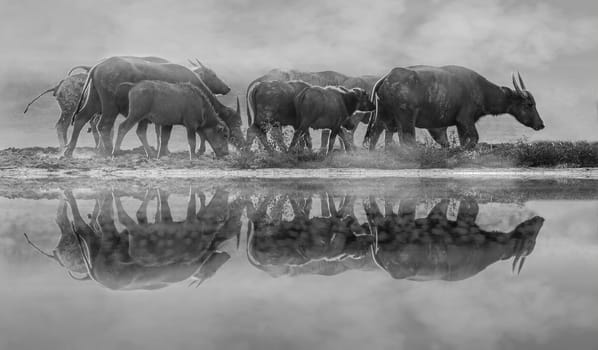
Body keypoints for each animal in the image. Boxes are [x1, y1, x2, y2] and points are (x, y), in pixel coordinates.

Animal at [65, 56, 233, 157]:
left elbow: (160, 135)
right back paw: (109, 151)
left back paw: (68, 150)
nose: (227, 88)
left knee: (81, 119)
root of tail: (96, 67)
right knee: (104, 126)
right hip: (110, 107)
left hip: (94, 101)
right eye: (234, 122)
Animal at [366, 65, 548, 149]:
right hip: (406, 119)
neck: (481, 89)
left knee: (375, 134)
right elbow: (473, 139)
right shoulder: (465, 120)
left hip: (383, 116)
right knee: (406, 140)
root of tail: (387, 77)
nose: (541, 124)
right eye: (529, 104)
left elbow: (462, 141)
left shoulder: (459, 125)